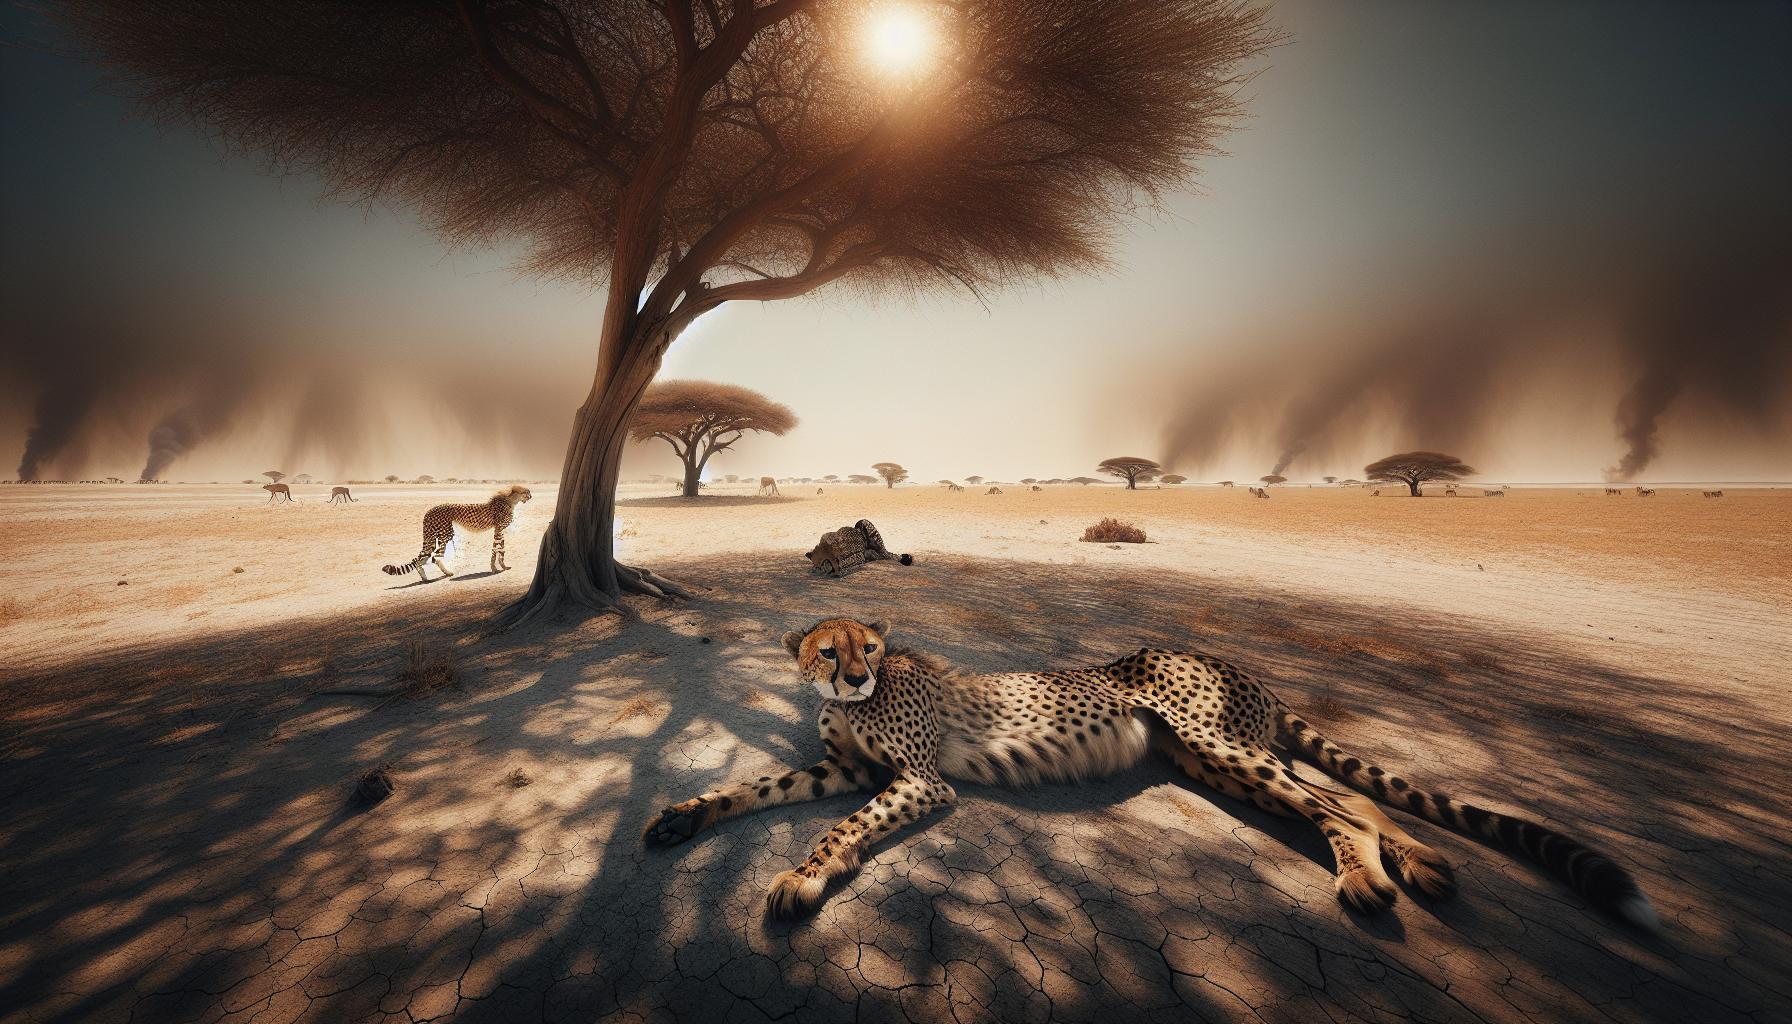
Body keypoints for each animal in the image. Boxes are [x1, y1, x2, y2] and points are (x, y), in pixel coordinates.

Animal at [381, 484, 530, 581]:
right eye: (526, 492)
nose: (531, 496)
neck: (510, 500)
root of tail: (429, 510)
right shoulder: (499, 529)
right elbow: (498, 549)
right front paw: (499, 568)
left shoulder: (498, 530)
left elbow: (498, 549)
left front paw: (498, 567)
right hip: (446, 534)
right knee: (435, 556)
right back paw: (448, 573)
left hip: (434, 536)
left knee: (421, 559)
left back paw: (425, 578)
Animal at [644, 618, 1656, 928]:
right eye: (829, 650)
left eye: (870, 649)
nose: (855, 675)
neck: (854, 702)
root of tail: (1229, 658)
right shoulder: (840, 771)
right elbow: (757, 788)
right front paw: (679, 816)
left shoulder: (920, 783)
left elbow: (839, 827)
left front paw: (805, 877)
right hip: (1214, 762)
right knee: (1350, 794)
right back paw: (1422, 865)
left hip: (1220, 744)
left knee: (1337, 804)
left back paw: (1371, 881)